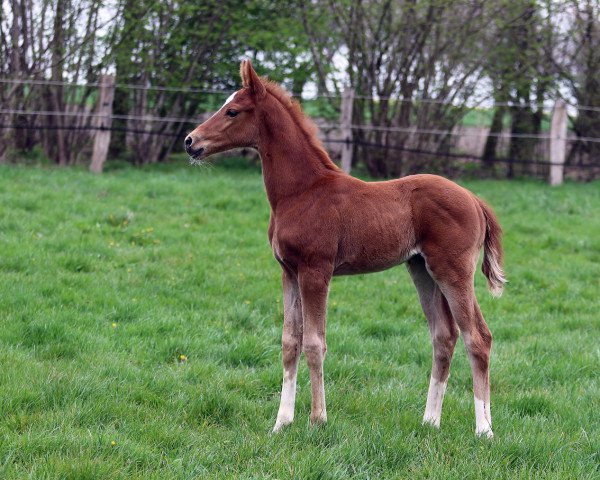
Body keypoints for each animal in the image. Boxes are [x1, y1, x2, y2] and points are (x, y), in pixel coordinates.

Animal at [185, 59, 504, 436]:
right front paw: (281, 422)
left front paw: (317, 419)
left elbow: (314, 342)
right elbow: (289, 342)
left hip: (453, 272)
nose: (190, 141)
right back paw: (430, 421)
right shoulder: (288, 272)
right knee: (444, 336)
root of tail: (474, 199)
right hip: (422, 270)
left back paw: (484, 430)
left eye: (232, 111)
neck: (301, 191)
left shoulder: (316, 271)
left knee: (477, 337)